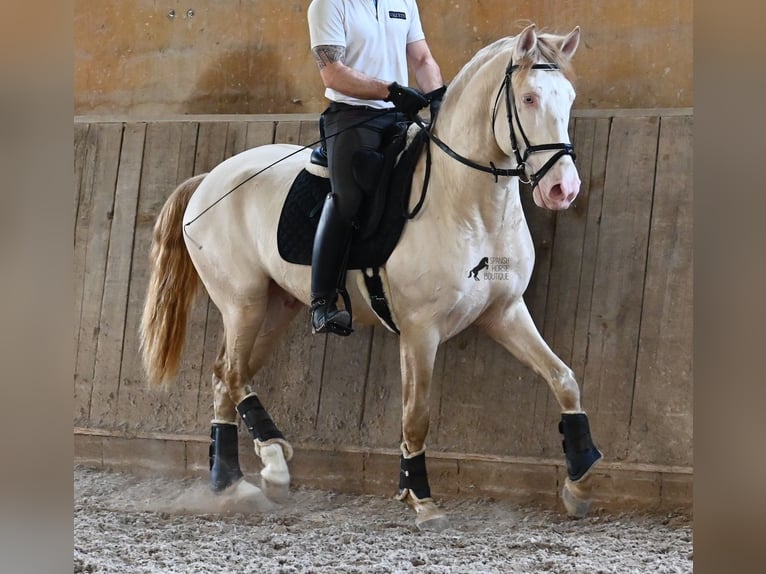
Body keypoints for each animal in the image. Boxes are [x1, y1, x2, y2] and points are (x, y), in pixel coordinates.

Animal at [141, 23, 604, 532]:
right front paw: (420, 498)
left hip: (276, 306)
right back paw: (273, 463)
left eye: (568, 97)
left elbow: (564, 378)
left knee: (225, 377)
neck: (467, 205)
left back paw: (231, 483)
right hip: (242, 302)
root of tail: (208, 179)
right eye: (528, 98)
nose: (563, 189)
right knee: (232, 373)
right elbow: (416, 415)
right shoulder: (420, 330)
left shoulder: (505, 312)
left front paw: (580, 481)